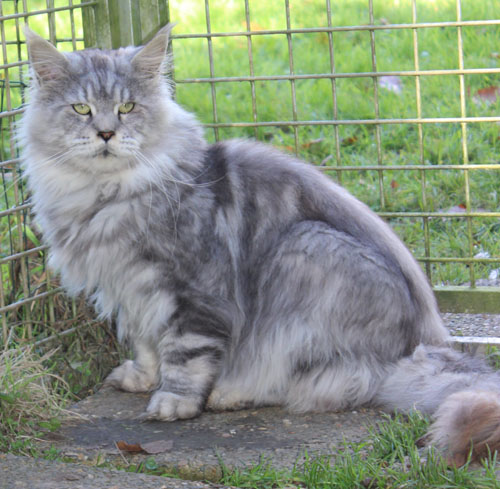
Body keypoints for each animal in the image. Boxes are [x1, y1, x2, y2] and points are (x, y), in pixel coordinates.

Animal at [21, 23, 500, 466]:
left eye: (127, 107)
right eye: (81, 108)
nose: (105, 133)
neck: (107, 195)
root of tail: (418, 346)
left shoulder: (194, 290)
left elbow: (184, 352)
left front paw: (173, 401)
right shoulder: (132, 290)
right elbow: (147, 343)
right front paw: (142, 376)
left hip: (300, 258)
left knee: (324, 382)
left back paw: (231, 393)